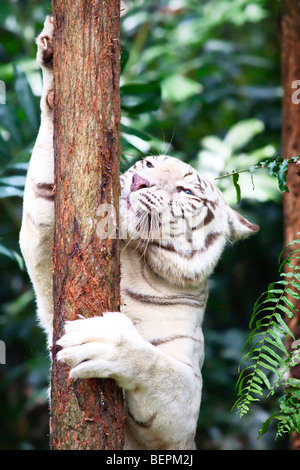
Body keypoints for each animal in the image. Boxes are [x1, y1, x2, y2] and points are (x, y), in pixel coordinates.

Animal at [18, 16, 258, 450]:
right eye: (147, 163)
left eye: (186, 191)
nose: (139, 180)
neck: (137, 256)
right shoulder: (45, 250)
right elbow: (44, 177)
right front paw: (51, 58)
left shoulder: (187, 400)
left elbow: (157, 367)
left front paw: (103, 341)